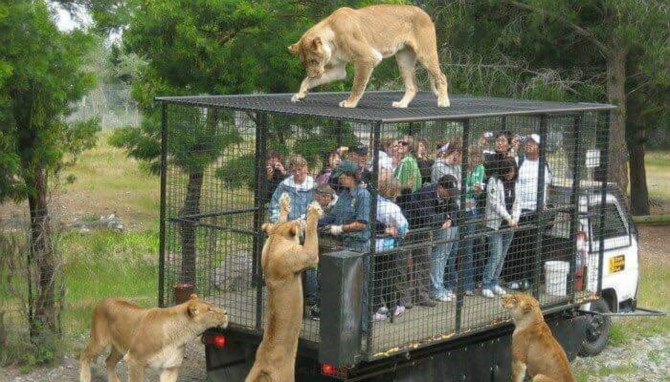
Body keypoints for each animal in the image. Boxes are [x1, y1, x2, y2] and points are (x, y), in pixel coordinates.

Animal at [247, 194, 326, 382]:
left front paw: (284, 202)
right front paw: (313, 211)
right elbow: (311, 235)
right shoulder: (308, 256)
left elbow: (280, 219)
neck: (275, 241)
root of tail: (263, 364)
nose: (300, 220)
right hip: (288, 375)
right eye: (297, 222)